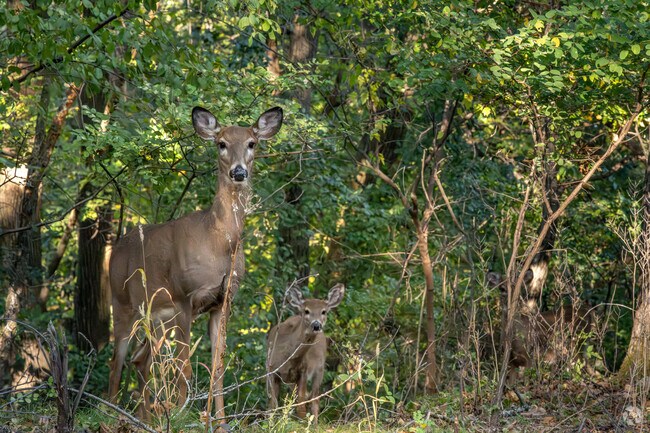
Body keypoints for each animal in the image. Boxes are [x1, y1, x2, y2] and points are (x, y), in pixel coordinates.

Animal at [108, 105, 283, 420]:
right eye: (221, 143)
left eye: (252, 143)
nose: (239, 172)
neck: (219, 244)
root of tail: (115, 249)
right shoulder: (183, 297)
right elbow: (184, 368)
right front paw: (179, 416)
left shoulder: (222, 302)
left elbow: (217, 368)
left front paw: (219, 421)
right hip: (123, 303)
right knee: (117, 361)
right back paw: (112, 413)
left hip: (157, 317)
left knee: (141, 360)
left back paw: (144, 417)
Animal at [266, 282, 345, 425]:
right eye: (307, 310)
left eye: (324, 311)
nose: (316, 325)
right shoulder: (271, 371)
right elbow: (272, 406)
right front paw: (270, 425)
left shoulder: (303, 371)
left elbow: (301, 406)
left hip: (319, 370)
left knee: (314, 399)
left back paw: (314, 425)